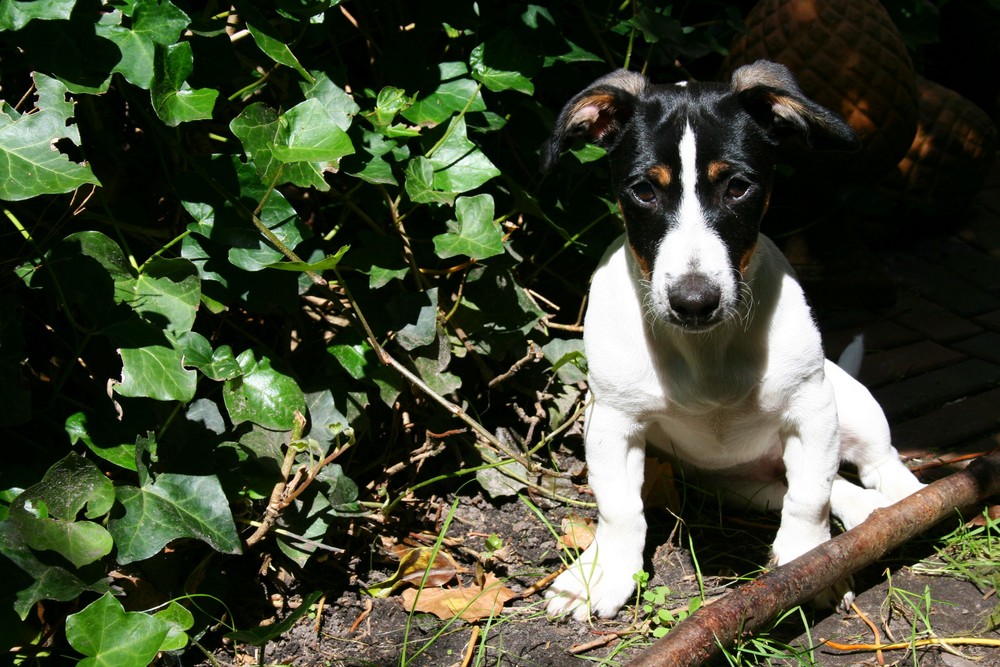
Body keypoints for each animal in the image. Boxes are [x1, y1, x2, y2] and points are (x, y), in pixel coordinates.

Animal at [540, 61, 920, 620]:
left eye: (738, 187)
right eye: (644, 191)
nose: (694, 301)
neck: (706, 352)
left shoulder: (812, 408)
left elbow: (809, 499)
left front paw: (808, 561)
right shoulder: (612, 420)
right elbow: (620, 509)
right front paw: (603, 575)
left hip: (848, 402)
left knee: (875, 466)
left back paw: (902, 501)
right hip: (736, 485)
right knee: (823, 487)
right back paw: (866, 511)